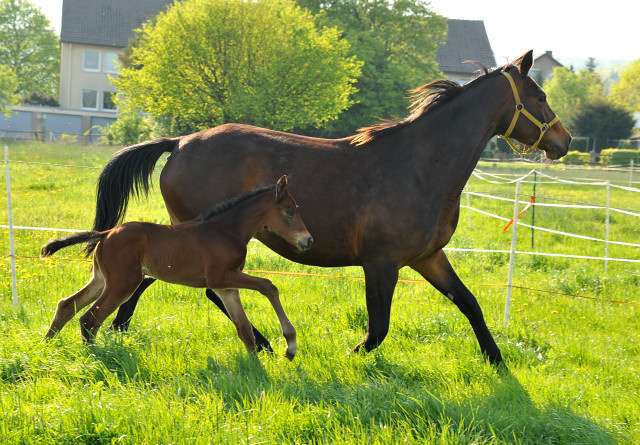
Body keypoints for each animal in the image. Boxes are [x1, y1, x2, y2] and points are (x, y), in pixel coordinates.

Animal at [41, 175, 312, 360]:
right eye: (289, 212)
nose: (308, 241)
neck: (227, 230)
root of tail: (106, 233)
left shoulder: (226, 286)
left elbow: (244, 328)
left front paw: (255, 368)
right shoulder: (221, 277)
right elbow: (269, 286)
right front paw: (290, 345)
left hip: (102, 280)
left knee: (67, 305)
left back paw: (46, 347)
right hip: (123, 283)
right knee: (90, 318)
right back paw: (94, 357)